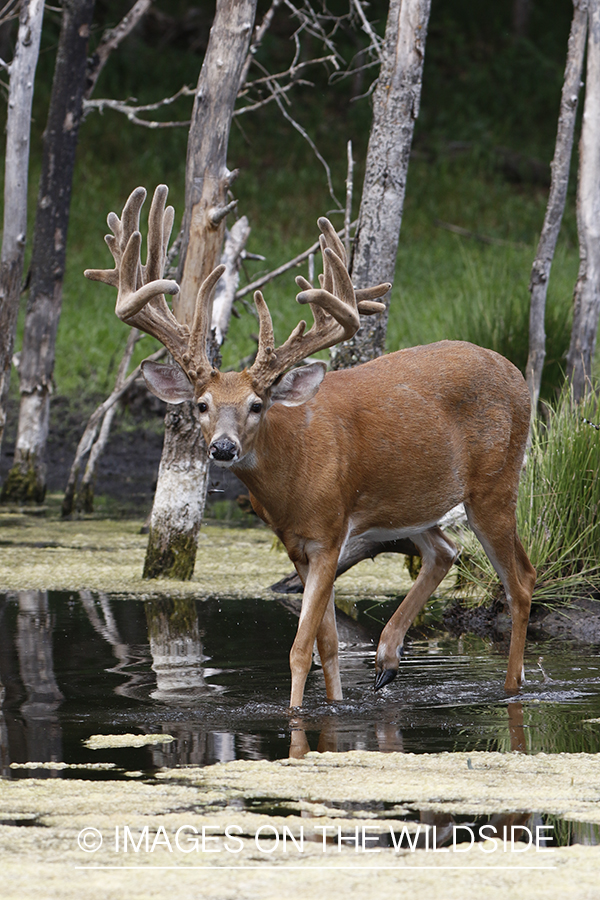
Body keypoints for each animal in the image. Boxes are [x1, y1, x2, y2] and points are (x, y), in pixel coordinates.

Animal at [83, 185, 536, 712]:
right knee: (445, 550)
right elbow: (328, 642)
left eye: (257, 404)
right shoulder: (295, 543)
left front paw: (296, 712)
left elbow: (301, 647)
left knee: (520, 582)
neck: (293, 477)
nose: (222, 448)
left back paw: (510, 688)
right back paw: (387, 660)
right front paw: (334, 705)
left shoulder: (330, 532)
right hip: (413, 502)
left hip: (495, 484)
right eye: (201, 404)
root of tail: (516, 373)